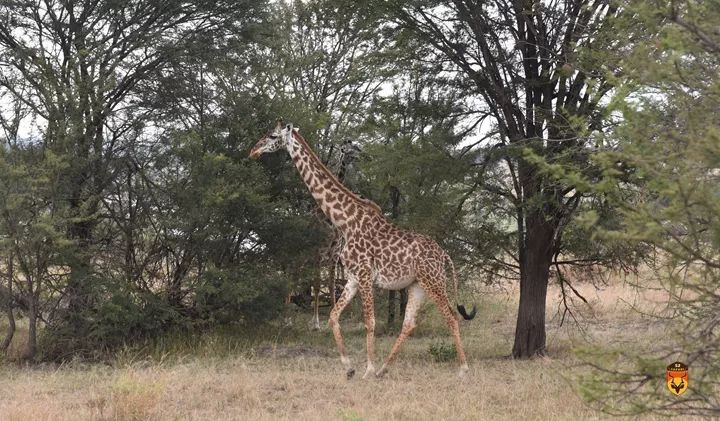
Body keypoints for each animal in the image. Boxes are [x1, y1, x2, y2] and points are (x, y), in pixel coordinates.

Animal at [250, 120, 476, 378]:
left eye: (272, 136)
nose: (253, 151)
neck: (344, 221)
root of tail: (444, 255)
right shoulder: (353, 277)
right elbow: (333, 316)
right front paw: (349, 368)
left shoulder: (366, 275)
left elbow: (370, 321)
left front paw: (367, 369)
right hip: (417, 285)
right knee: (409, 323)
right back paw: (384, 369)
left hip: (434, 282)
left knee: (452, 317)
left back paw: (463, 369)